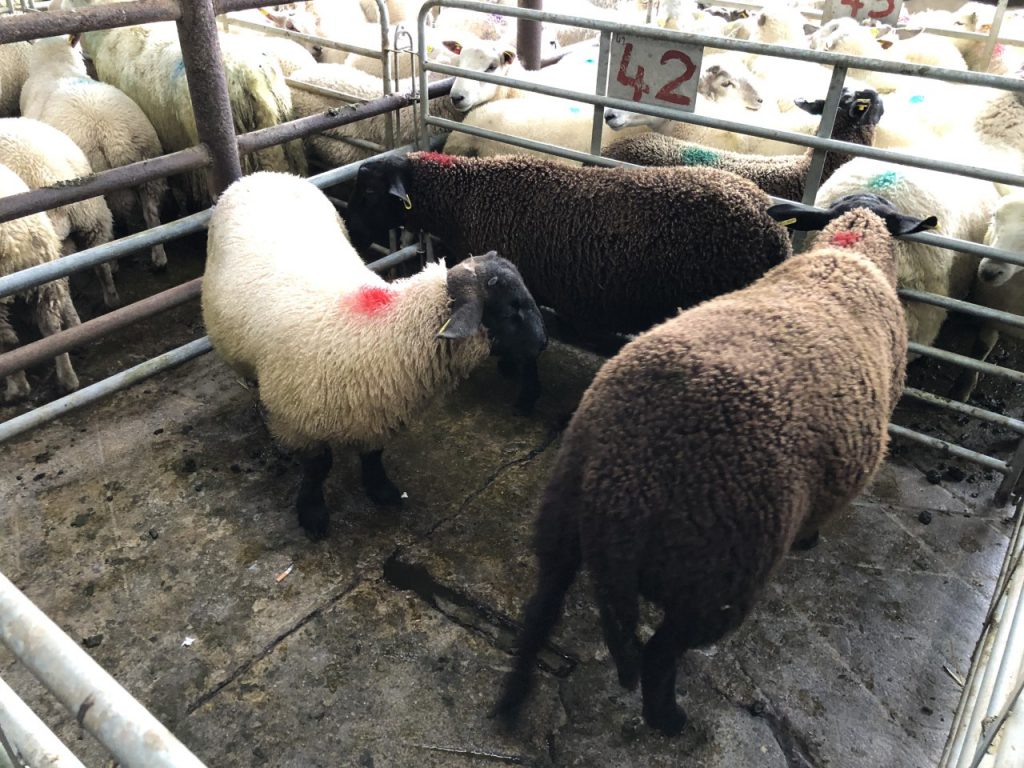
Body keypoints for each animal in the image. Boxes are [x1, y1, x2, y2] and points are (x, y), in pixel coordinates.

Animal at [0, 163, 82, 402]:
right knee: (51, 328)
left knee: (6, 340)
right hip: (45, 277)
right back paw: (68, 381)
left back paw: (16, 389)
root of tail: (12, 234)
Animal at [20, 36, 169, 270]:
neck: (55, 66)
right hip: (150, 164)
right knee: (151, 212)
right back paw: (159, 256)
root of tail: (111, 134)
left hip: (103, 182)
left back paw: (114, 260)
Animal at [201, 171, 547, 539]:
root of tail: (265, 176)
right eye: (510, 310)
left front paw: (381, 490)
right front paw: (313, 515)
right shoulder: (296, 422)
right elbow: (318, 468)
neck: (382, 332)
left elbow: (373, 455)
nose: (543, 343)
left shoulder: (377, 410)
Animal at [493, 193, 930, 735]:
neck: (849, 253)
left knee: (538, 613)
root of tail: (621, 474)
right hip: (715, 579)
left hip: (561, 516)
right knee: (660, 656)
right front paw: (809, 540)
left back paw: (510, 705)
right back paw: (670, 721)